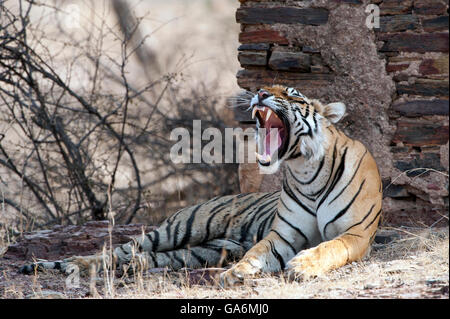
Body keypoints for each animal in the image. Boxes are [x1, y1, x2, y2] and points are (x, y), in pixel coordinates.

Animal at [19, 85, 382, 290]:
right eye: (268, 89)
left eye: (292, 94)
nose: (261, 93)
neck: (306, 170)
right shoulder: (283, 236)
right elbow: (256, 252)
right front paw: (235, 275)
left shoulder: (356, 234)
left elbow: (329, 247)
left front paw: (302, 266)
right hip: (176, 229)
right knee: (113, 251)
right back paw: (70, 265)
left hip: (195, 251)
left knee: (144, 258)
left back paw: (131, 268)